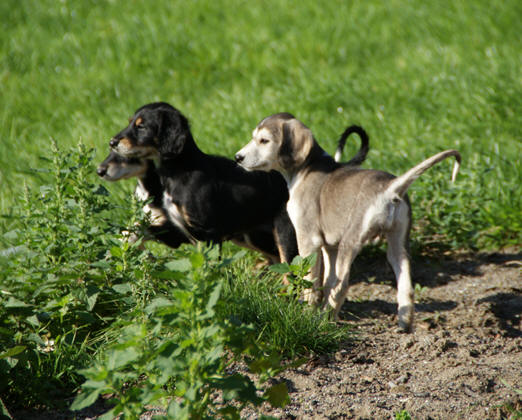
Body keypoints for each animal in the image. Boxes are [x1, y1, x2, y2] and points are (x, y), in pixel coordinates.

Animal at [235, 113, 461, 332]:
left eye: (264, 140)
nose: (237, 157)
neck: (308, 167)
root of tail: (389, 187)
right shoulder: (329, 246)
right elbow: (326, 281)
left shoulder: (309, 239)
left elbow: (311, 282)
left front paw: (307, 313)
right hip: (398, 244)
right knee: (406, 286)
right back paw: (403, 324)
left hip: (350, 241)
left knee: (341, 285)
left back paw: (324, 320)